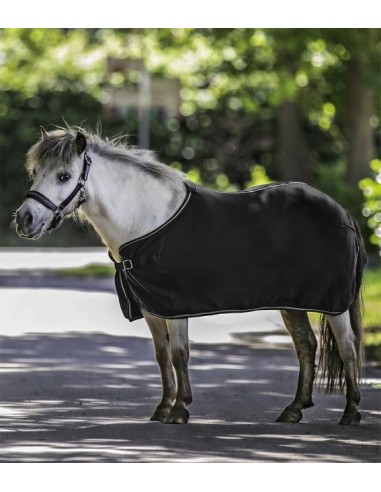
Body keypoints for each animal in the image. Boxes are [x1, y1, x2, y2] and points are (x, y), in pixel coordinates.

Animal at [14, 129, 366, 424]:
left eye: (64, 176)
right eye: (35, 173)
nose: (24, 219)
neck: (146, 220)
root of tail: (343, 213)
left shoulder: (173, 305)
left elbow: (180, 354)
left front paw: (180, 409)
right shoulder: (152, 309)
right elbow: (162, 356)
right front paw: (163, 407)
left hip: (334, 304)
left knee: (348, 347)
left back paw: (350, 413)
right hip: (292, 303)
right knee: (306, 346)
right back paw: (293, 410)